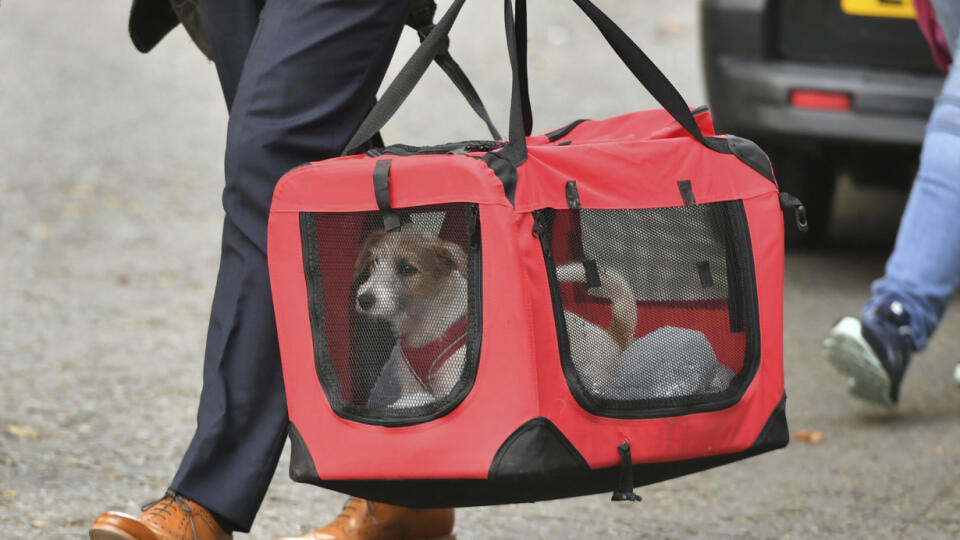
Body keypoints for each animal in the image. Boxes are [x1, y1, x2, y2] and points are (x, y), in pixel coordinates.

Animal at [354, 226, 636, 408]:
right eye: (374, 262)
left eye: (406, 268)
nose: (363, 299)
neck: (424, 323)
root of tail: (613, 339)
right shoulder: (413, 388)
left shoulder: (450, 385)